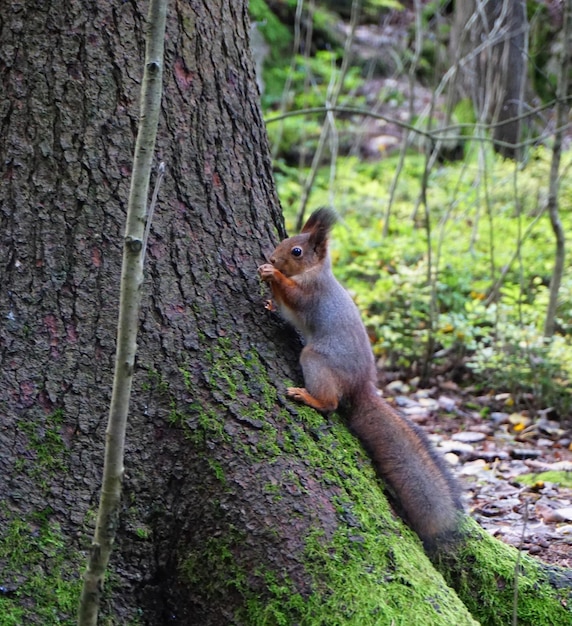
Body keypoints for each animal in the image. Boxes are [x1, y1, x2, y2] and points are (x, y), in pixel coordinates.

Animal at [260, 206, 464, 544]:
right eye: (285, 241)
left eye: (297, 251)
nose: (273, 258)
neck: (315, 272)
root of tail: (362, 386)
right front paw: (267, 300)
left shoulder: (312, 295)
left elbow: (294, 297)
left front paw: (272, 275)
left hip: (317, 360)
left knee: (330, 403)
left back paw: (309, 397)